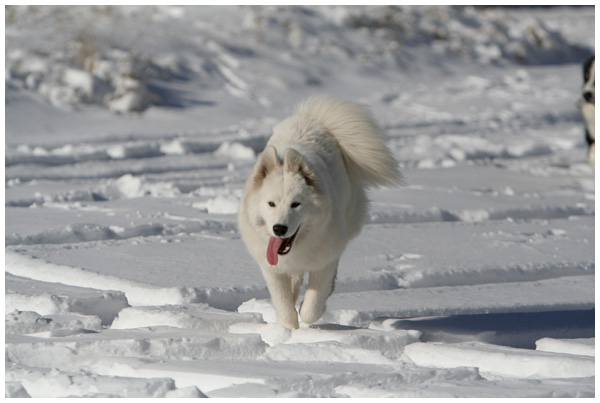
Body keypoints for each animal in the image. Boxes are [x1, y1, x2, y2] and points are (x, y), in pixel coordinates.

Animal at [237, 96, 400, 330]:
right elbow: (283, 304)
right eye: (271, 204)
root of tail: (315, 121)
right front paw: (288, 329)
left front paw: (308, 314)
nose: (279, 229)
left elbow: (311, 307)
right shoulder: (271, 268)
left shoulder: (324, 261)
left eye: (296, 204)